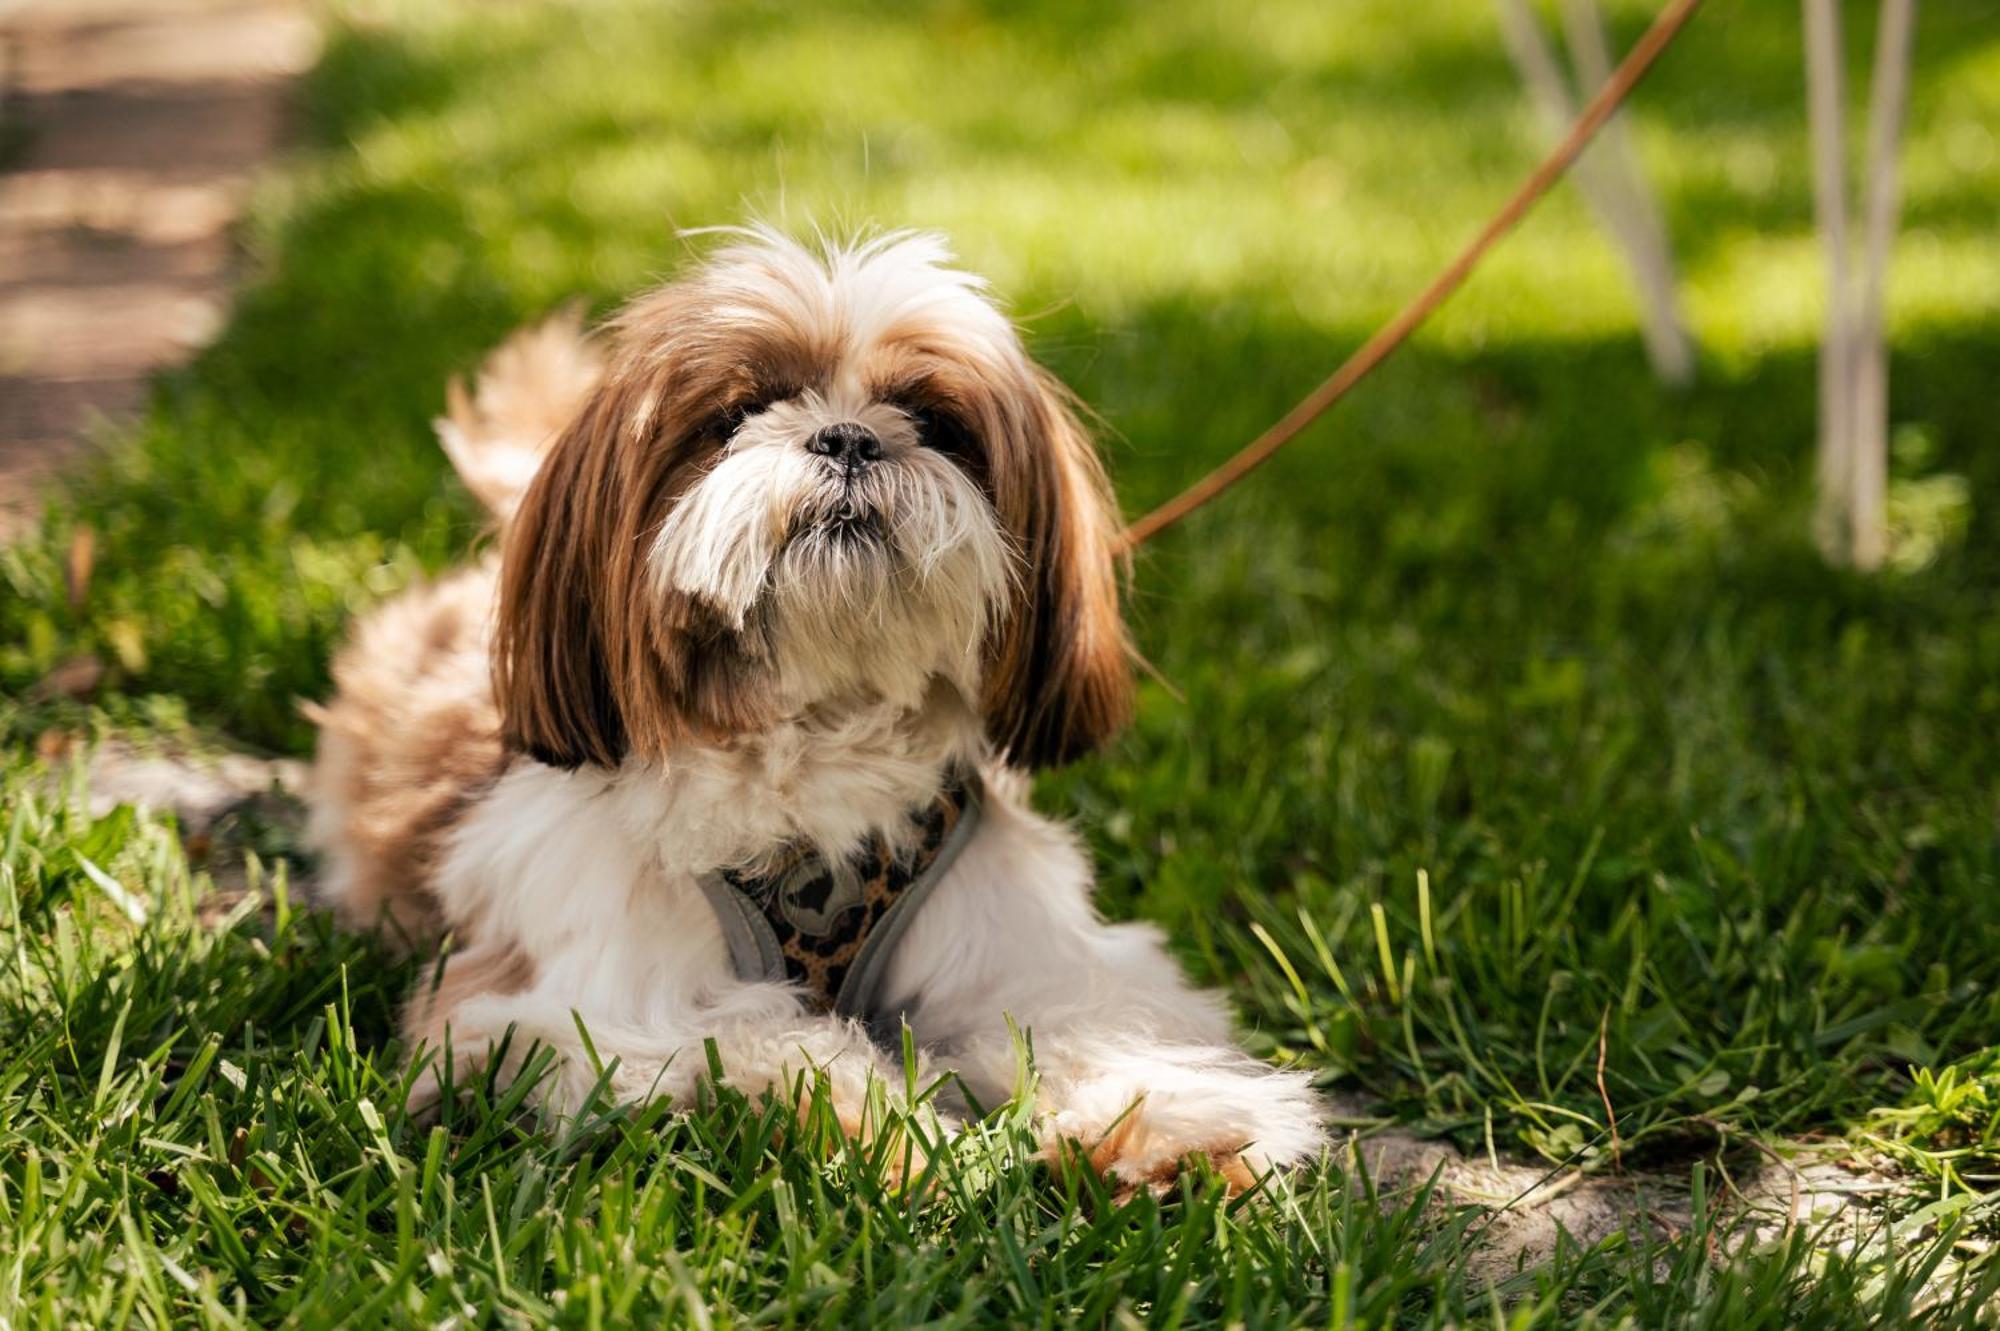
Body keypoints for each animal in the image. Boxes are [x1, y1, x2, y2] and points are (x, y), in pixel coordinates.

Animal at [304, 225, 1320, 1183]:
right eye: (737, 414)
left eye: (935, 420)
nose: (848, 437)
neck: (817, 730)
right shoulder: (556, 1008)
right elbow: (745, 1031)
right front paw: (884, 1124)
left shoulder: (1029, 952)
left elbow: (1095, 1020)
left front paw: (1170, 1124)